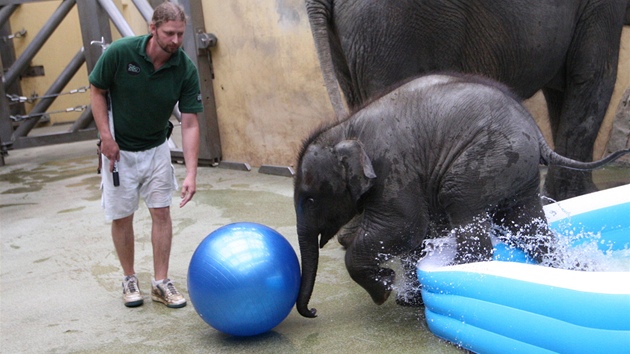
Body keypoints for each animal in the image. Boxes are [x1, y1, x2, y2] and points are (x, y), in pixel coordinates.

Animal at [296, 73, 630, 316]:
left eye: (310, 199)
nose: (313, 311)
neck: (343, 129)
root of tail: (536, 132)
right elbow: (413, 236)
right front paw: (407, 300)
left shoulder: (393, 168)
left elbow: (404, 227)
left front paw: (385, 288)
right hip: (515, 170)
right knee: (526, 221)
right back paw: (572, 267)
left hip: (484, 162)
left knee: (462, 206)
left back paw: (455, 270)